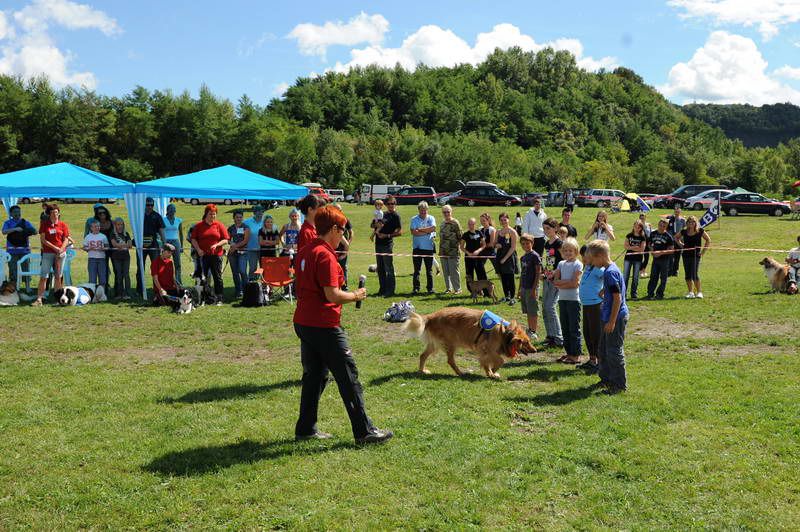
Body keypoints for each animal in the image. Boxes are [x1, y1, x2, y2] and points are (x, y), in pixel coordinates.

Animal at [400, 308, 536, 378]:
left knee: (422, 356)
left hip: (434, 345)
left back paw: (422, 371)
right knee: (450, 360)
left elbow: (487, 362)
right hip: (451, 343)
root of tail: (431, 316)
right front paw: (492, 372)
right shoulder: (487, 348)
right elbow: (499, 361)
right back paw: (459, 373)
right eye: (526, 342)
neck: (504, 332)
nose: (535, 350)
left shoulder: (484, 351)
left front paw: (490, 372)